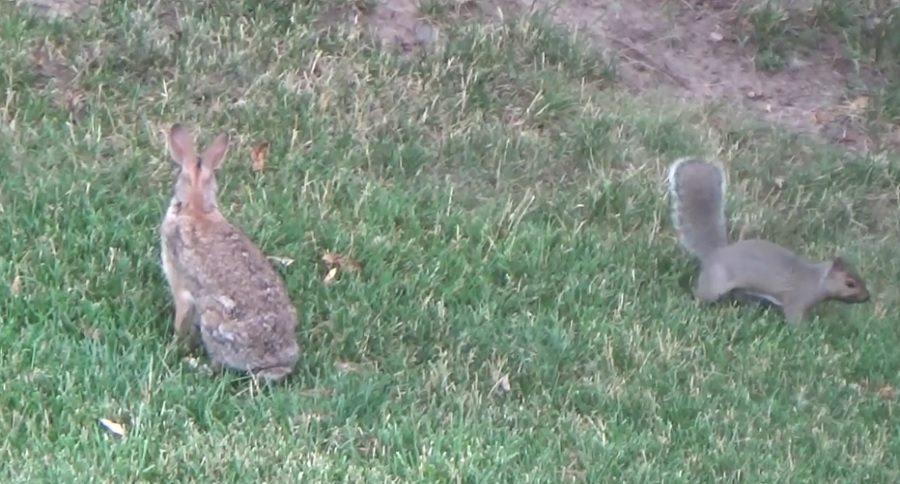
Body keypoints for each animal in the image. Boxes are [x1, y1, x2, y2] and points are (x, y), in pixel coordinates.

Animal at [664, 158, 868, 326]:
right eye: (850, 283)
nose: (867, 297)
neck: (816, 280)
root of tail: (715, 254)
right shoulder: (796, 299)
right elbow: (794, 318)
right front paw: (805, 333)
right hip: (715, 284)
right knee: (703, 295)